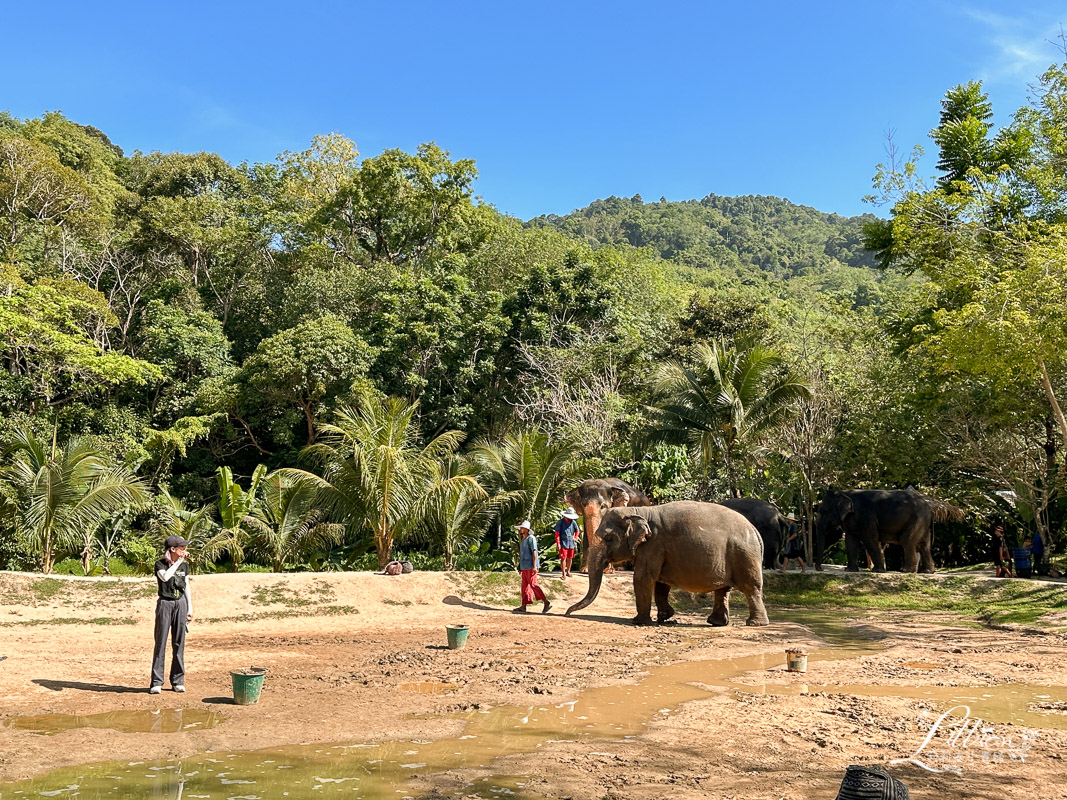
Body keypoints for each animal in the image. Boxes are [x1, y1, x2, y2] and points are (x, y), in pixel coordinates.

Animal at [563, 503, 772, 631]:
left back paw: (755, 624)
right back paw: (717, 623)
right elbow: (660, 583)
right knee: (723, 590)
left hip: (744, 555)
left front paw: (639, 622)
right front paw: (666, 617)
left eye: (608, 538)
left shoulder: (653, 544)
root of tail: (756, 532)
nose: (566, 613)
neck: (640, 511)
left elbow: (643, 578)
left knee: (751, 588)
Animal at [815, 486, 968, 571]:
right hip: (923, 524)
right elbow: (851, 541)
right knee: (924, 545)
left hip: (916, 520)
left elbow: (870, 540)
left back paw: (905, 571)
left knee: (908, 541)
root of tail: (930, 509)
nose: (820, 569)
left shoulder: (867, 517)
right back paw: (927, 572)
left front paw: (878, 571)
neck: (845, 492)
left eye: (824, 511)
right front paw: (850, 571)